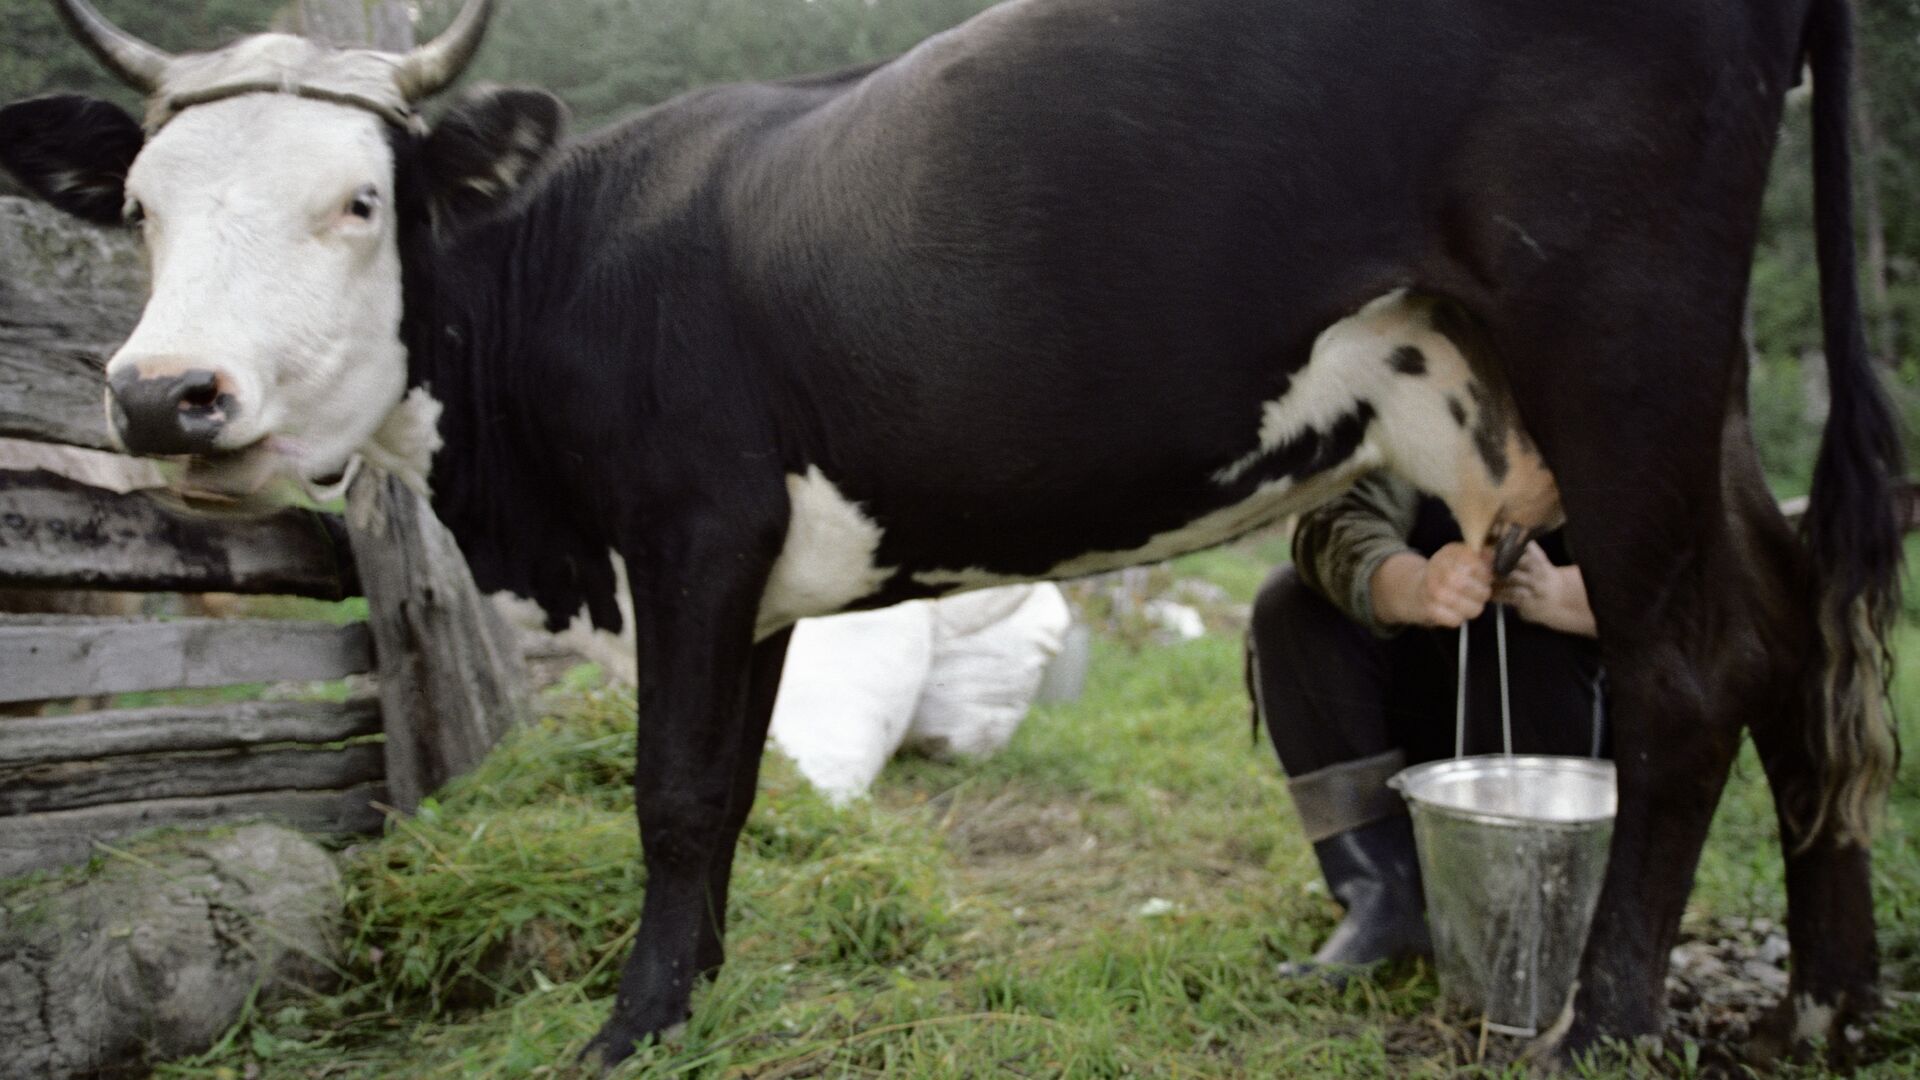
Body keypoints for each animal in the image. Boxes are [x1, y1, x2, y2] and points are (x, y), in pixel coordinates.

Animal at [0, 0, 1896, 1060]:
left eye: (356, 201)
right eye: (145, 207)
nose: (165, 398)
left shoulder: (690, 523)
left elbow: (670, 789)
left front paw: (626, 1025)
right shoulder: (755, 577)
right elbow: (728, 793)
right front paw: (693, 993)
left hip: (1618, 340)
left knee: (1691, 668)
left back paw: (1609, 1028)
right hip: (1675, 385)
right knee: (1797, 630)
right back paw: (1831, 1000)